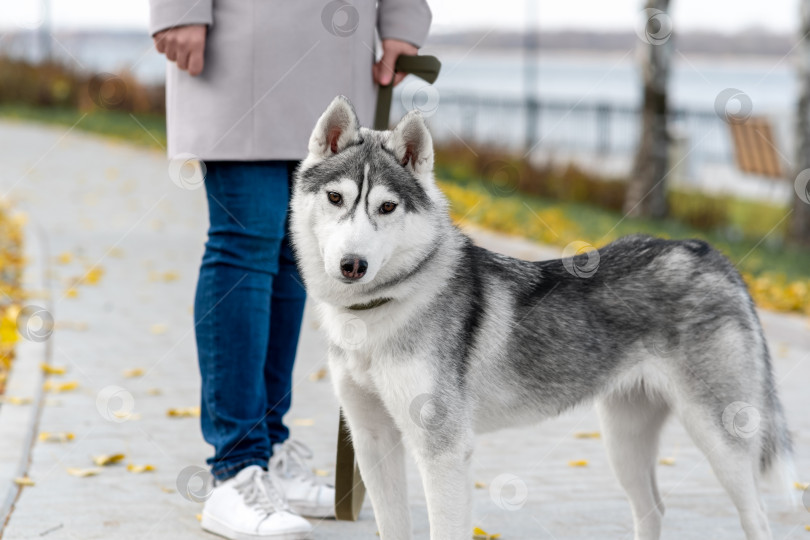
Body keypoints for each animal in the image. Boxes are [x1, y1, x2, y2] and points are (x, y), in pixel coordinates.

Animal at [288, 97, 788, 540]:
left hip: (720, 440)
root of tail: (707, 252)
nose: (353, 265)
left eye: (387, 207)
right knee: (652, 511)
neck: (380, 309)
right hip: (623, 441)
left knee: (759, 520)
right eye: (335, 198)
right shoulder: (373, 440)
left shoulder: (443, 451)